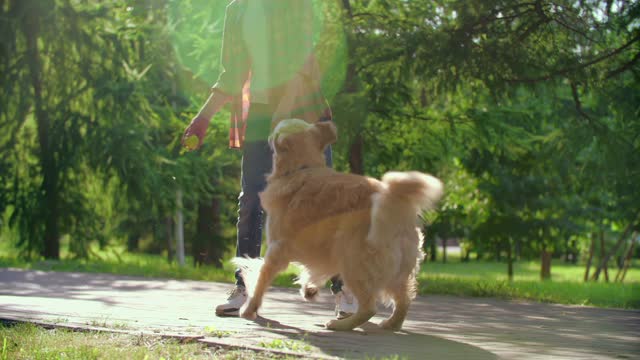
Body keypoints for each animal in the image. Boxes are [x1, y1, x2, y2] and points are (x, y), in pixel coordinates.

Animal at [232, 119, 442, 330]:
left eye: (277, 130)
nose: (267, 134)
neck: (303, 167)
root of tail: (394, 205)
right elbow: (313, 269)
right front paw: (309, 288)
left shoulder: (277, 249)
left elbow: (261, 279)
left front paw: (249, 309)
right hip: (396, 269)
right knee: (404, 300)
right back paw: (391, 323)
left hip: (353, 261)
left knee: (369, 307)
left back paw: (340, 325)